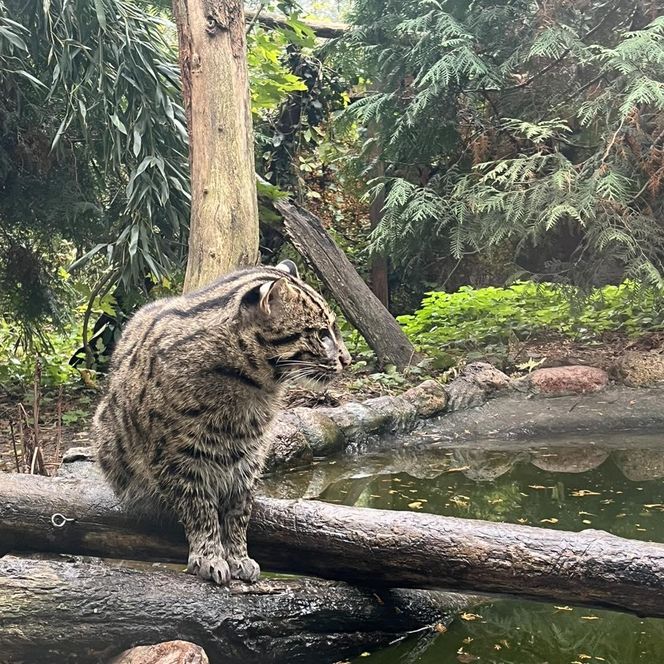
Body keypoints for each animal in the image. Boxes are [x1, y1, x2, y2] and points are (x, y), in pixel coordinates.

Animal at [96, 262, 352, 584]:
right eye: (321, 334)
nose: (348, 359)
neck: (251, 385)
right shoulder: (176, 456)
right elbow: (199, 508)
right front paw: (209, 556)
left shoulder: (249, 456)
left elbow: (238, 511)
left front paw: (238, 555)